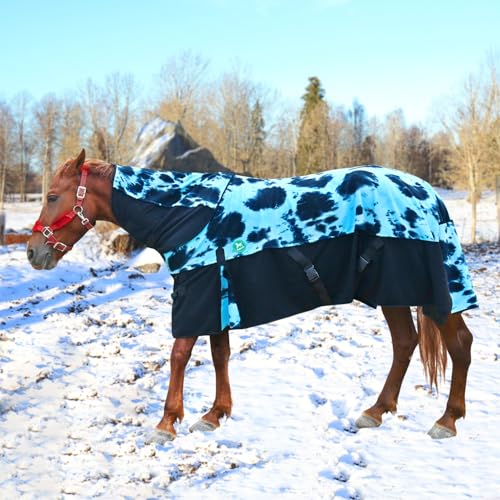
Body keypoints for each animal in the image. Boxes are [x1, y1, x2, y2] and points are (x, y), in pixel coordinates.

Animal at [28, 149, 476, 442]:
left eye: (52, 196)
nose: (34, 253)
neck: (187, 213)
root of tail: (430, 196)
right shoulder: (217, 293)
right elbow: (219, 354)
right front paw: (214, 414)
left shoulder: (198, 295)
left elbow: (179, 355)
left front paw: (166, 423)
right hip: (393, 293)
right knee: (405, 343)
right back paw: (375, 411)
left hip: (431, 295)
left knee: (459, 343)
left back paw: (448, 420)